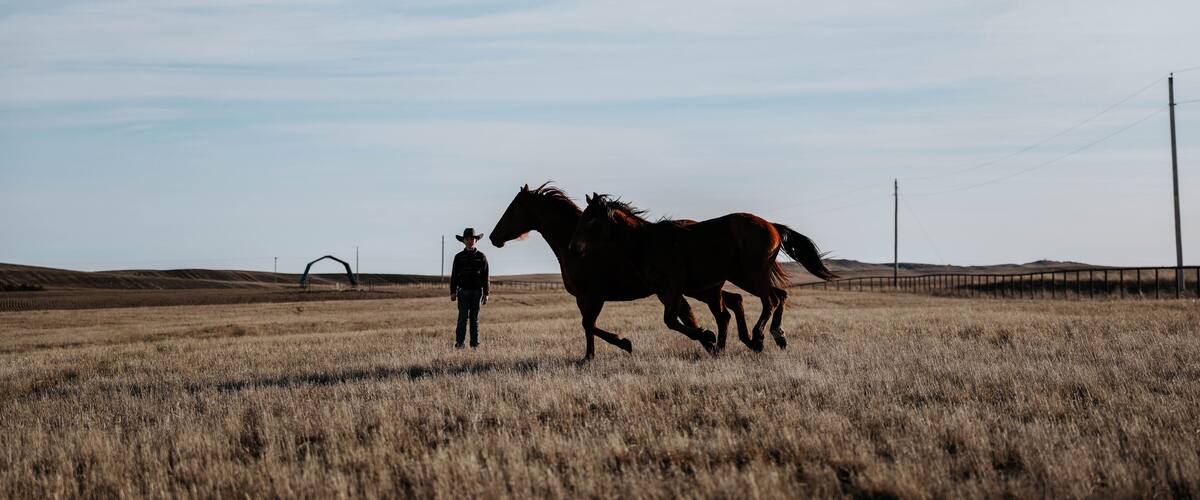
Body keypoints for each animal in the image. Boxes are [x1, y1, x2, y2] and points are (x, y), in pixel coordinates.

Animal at [489, 183, 748, 359]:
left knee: (720, 310)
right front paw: (588, 357)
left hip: (698, 289)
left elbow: (588, 324)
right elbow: (587, 326)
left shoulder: (594, 296)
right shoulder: (583, 298)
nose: (493, 238)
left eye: (512, 209)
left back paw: (718, 342)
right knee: (730, 302)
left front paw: (623, 343)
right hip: (698, 289)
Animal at [569, 193, 836, 352]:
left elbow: (671, 321)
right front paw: (709, 338)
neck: (646, 242)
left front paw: (706, 335)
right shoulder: (665, 291)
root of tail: (772, 226)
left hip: (751, 275)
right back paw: (776, 336)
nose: (573, 248)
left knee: (770, 300)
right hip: (745, 276)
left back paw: (758, 336)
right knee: (779, 296)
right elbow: (677, 320)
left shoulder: (673, 288)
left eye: (590, 220)